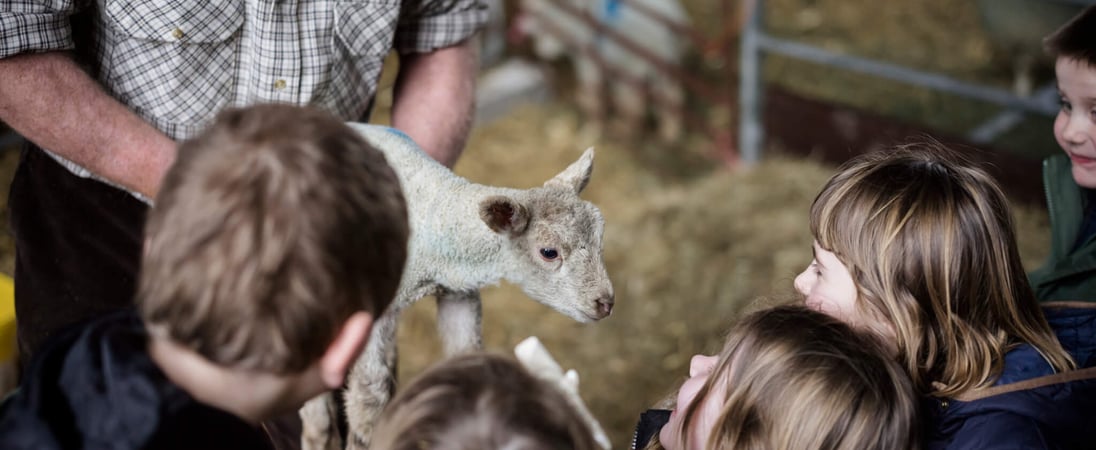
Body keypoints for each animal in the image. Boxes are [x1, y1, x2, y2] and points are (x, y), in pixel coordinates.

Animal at [298, 125, 618, 450]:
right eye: (549, 252)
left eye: (600, 238)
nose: (605, 303)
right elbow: (369, 395)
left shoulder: (459, 295)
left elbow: (467, 353)